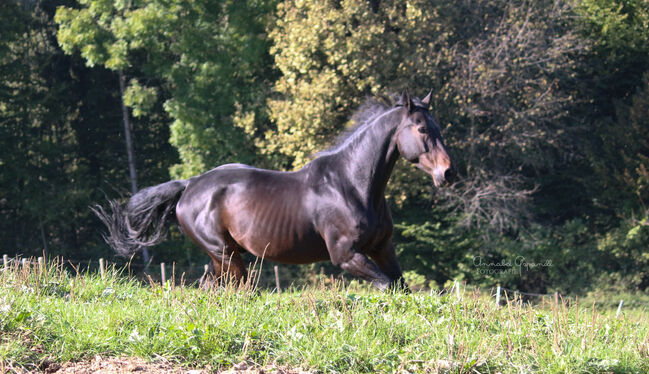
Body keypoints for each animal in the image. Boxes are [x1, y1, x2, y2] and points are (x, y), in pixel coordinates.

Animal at [92, 90, 456, 290]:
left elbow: (401, 288)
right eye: (421, 129)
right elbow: (387, 286)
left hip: (220, 257)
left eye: (438, 126)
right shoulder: (346, 256)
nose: (447, 172)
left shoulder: (382, 248)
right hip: (227, 256)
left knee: (210, 288)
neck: (352, 185)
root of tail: (189, 185)